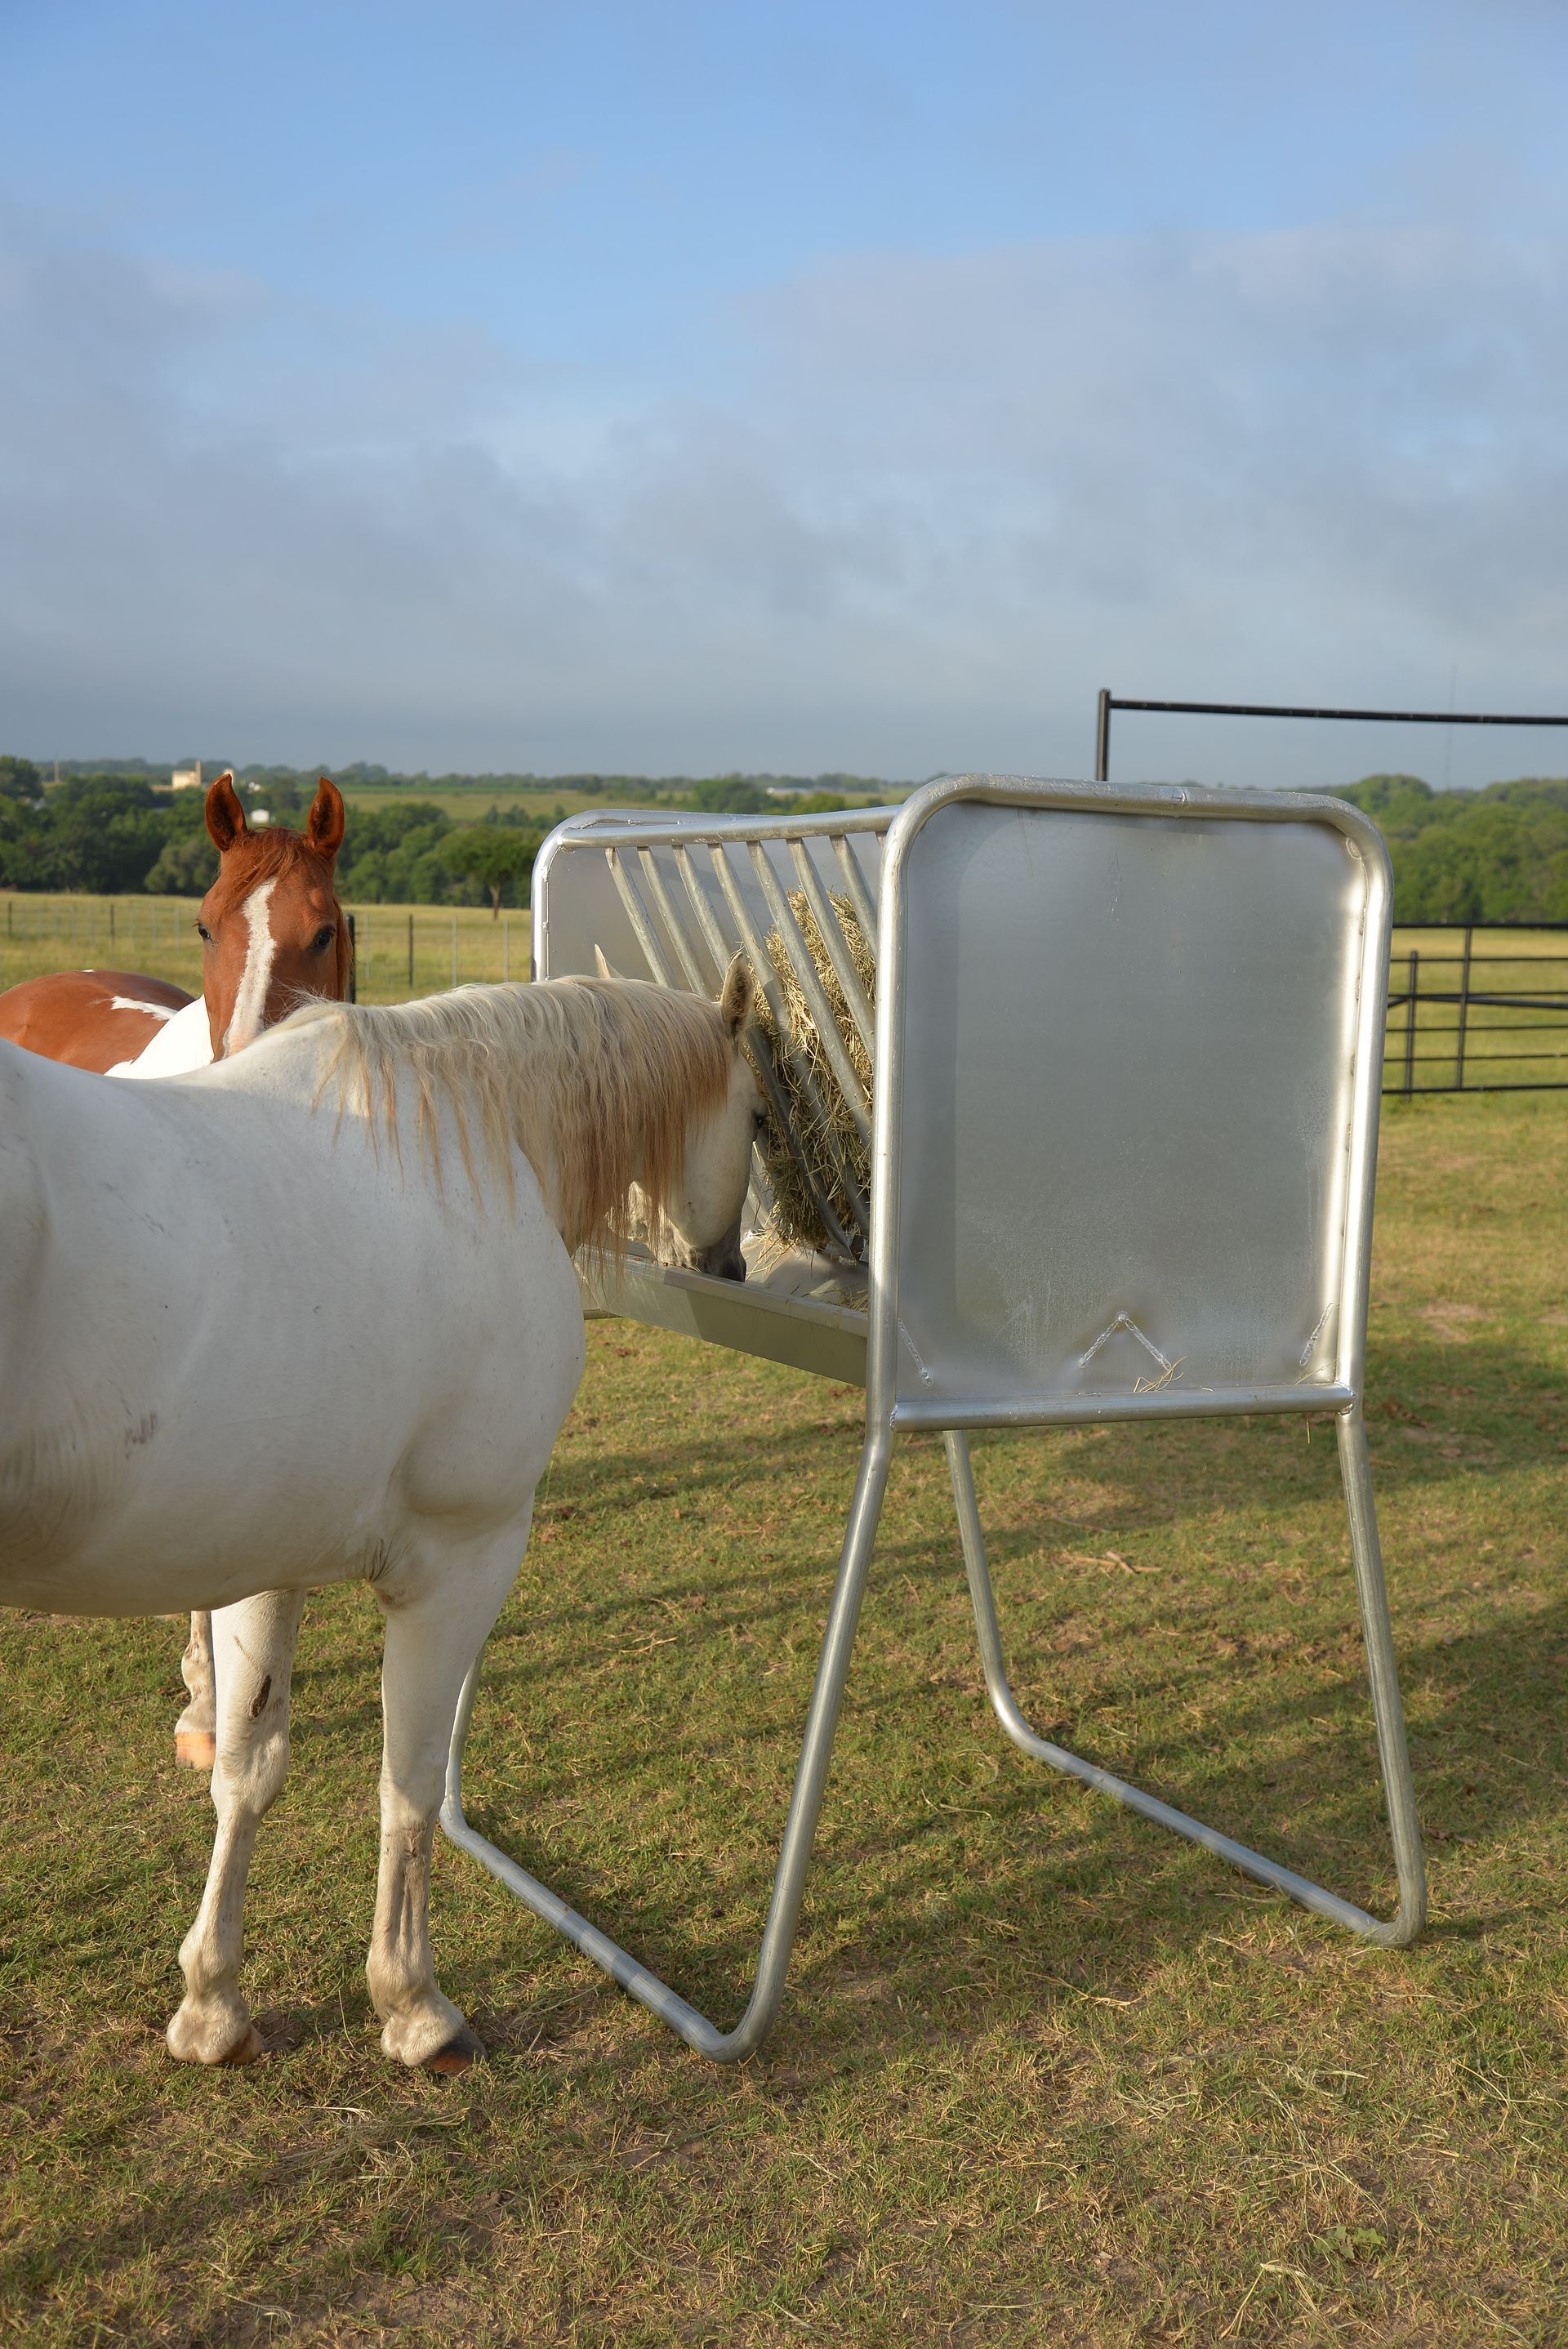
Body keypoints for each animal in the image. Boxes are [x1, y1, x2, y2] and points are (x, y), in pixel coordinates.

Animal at [0, 962, 761, 2070]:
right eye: (759, 1114)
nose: (730, 1269)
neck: (476, 1145)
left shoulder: (265, 1559)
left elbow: (249, 1771)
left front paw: (212, 2003)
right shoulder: (462, 1560)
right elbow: (409, 1783)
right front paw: (415, 2005)